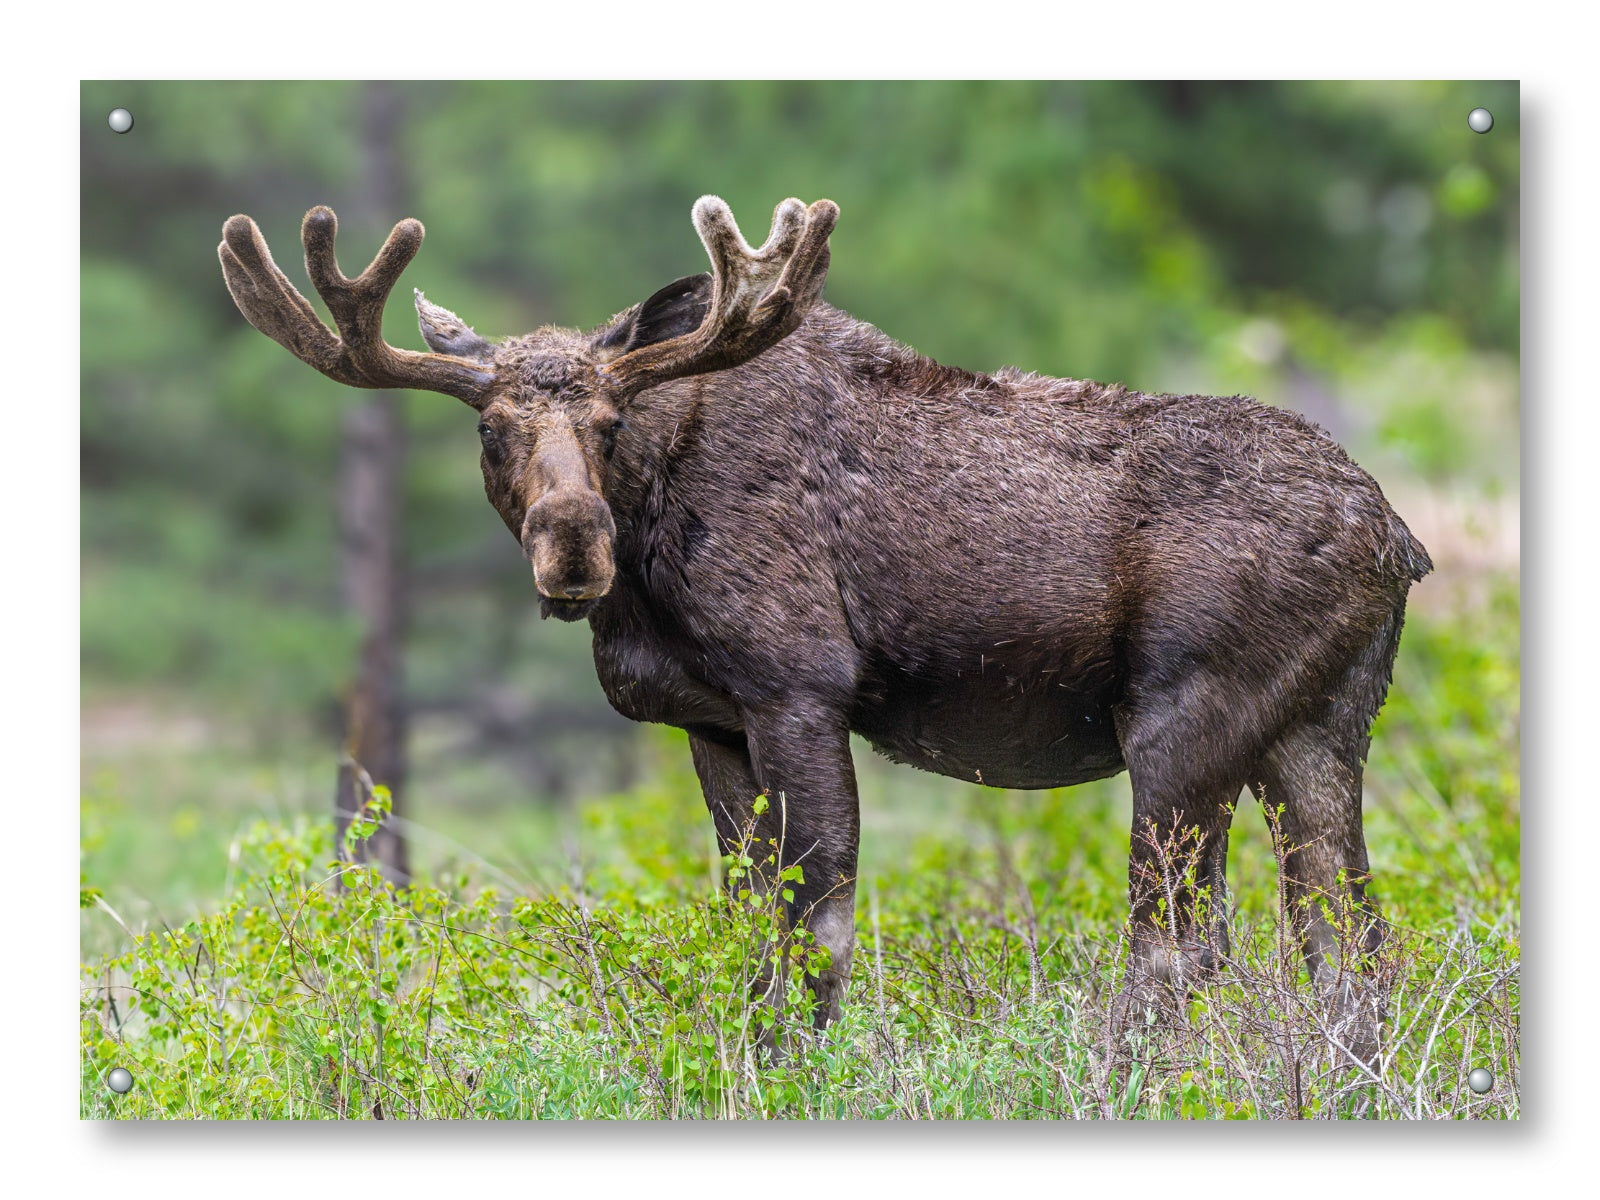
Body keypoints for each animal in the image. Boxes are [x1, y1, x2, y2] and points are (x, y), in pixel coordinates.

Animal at [218, 195, 1430, 1061]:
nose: (572, 549)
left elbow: (816, 927)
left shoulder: (798, 688)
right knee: (1347, 945)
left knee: (1182, 945)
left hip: (1185, 721)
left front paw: (795, 1070)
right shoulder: (708, 723)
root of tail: (1397, 537)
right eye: (490, 430)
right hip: (1319, 728)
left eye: (609, 421)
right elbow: (745, 921)